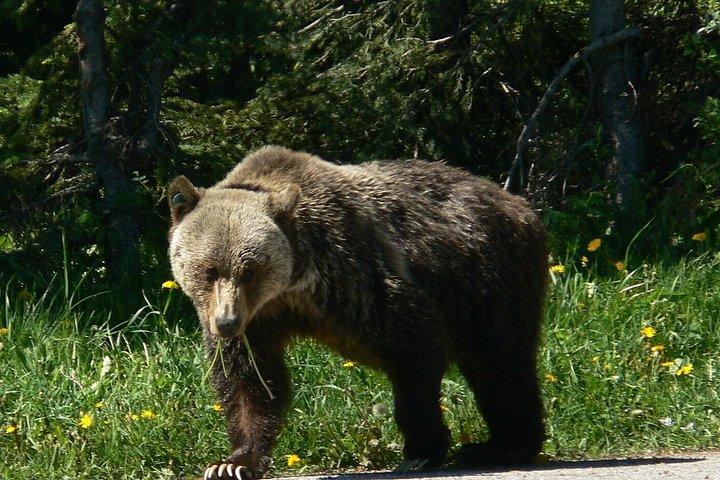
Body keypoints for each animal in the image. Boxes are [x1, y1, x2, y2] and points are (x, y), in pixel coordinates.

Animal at [167, 146, 548, 480]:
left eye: (249, 270)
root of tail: (519, 203)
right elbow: (250, 380)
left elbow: (415, 339)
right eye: (209, 270)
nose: (226, 322)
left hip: (487, 274)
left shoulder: (349, 270)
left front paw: (423, 449)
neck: (290, 287)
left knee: (500, 361)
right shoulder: (258, 321)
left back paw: (503, 445)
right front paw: (233, 463)